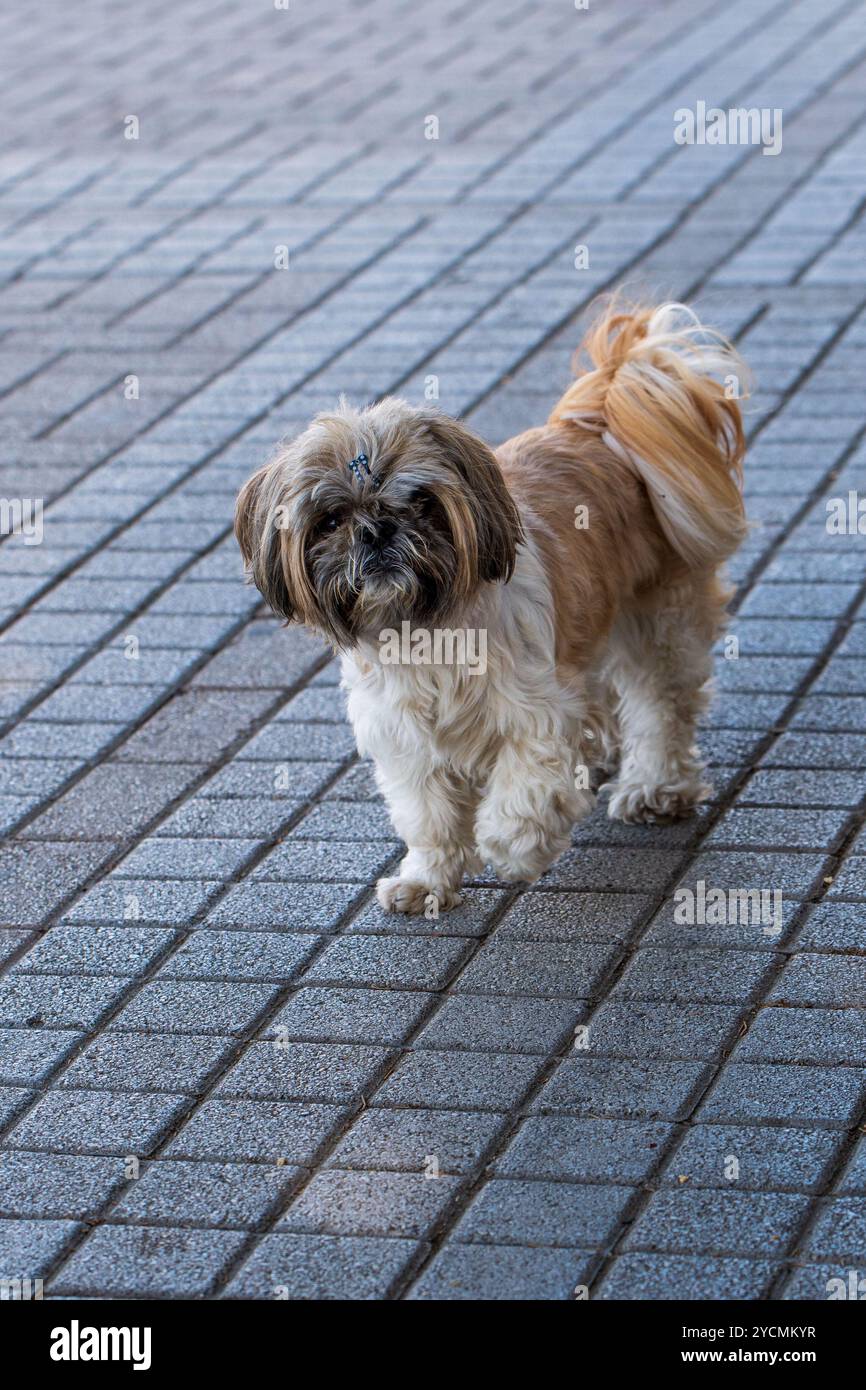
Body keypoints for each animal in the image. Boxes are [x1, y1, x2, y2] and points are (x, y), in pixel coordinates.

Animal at [234, 296, 745, 911]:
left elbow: (525, 793)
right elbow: (427, 814)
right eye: (330, 521)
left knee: (661, 704)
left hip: (657, 617)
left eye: (420, 502)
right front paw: (427, 880)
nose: (376, 530)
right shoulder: (405, 738)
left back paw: (655, 786)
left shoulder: (535, 715)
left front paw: (512, 847)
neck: (423, 629)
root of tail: (600, 422)